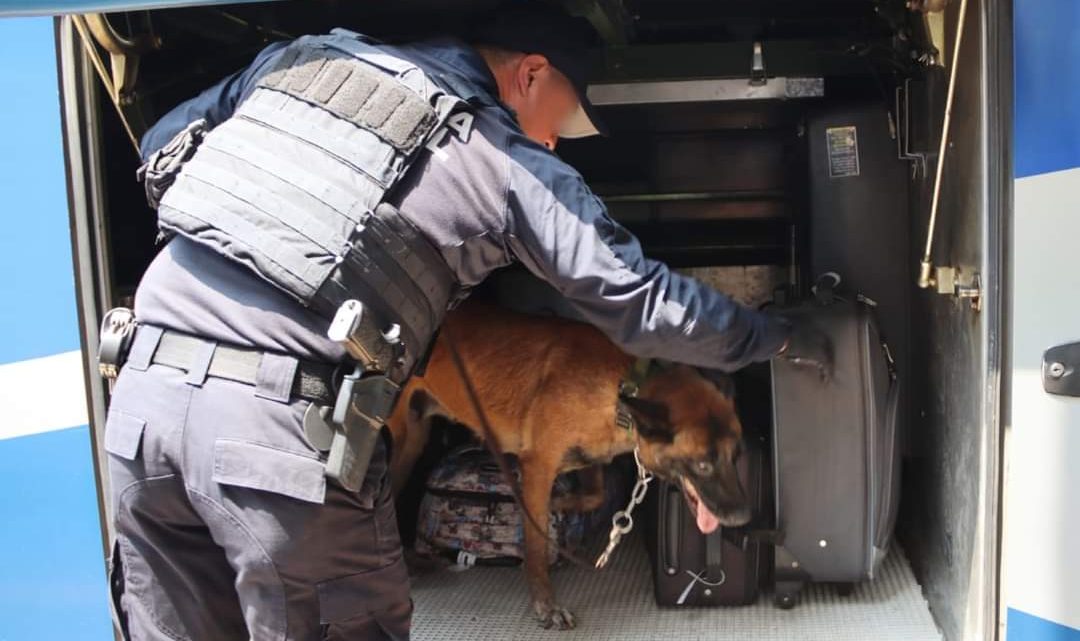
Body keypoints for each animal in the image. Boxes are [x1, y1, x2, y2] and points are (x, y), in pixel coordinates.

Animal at [388, 299, 751, 630]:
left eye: (736, 456)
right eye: (703, 465)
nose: (744, 517)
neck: (621, 390)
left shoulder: (589, 458)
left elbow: (595, 496)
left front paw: (561, 505)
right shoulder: (537, 467)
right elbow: (535, 549)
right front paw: (546, 605)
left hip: (413, 441)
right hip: (400, 439)